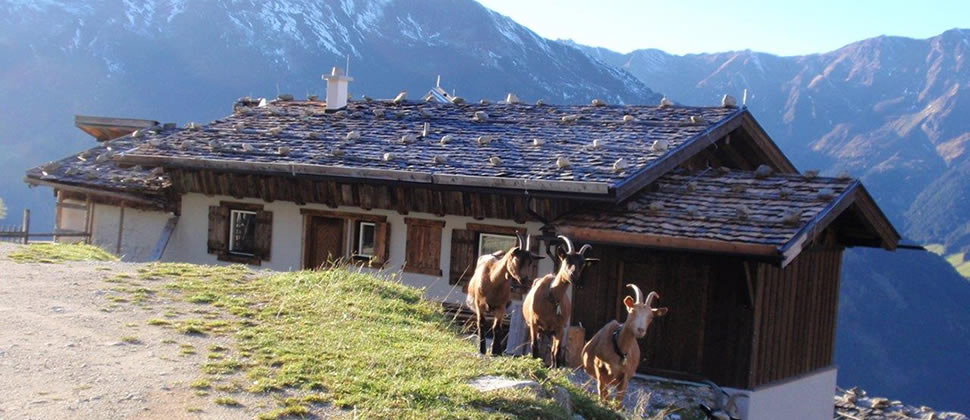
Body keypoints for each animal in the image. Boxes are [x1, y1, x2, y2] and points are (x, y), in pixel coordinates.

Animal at [520, 236, 596, 368]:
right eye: (567, 260)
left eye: (582, 263)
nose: (574, 277)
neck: (551, 297)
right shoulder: (534, 324)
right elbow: (534, 347)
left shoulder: (560, 328)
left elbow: (557, 351)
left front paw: (554, 368)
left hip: (551, 332)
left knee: (552, 350)